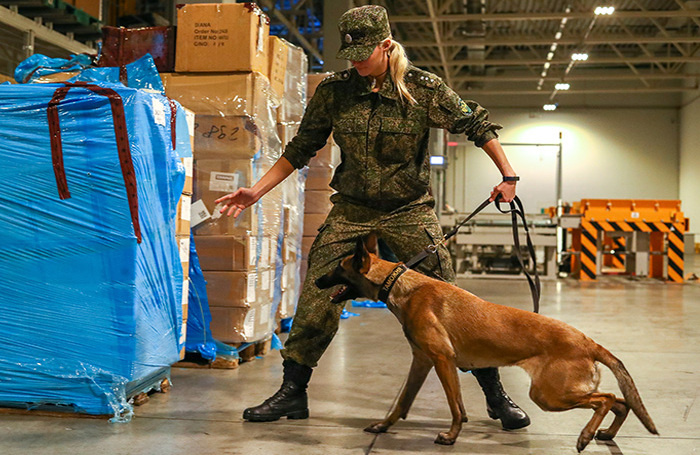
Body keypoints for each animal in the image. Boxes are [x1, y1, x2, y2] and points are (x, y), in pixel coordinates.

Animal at [314, 235, 660, 452]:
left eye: (338, 268)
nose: (316, 280)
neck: (401, 286)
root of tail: (589, 342)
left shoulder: (442, 360)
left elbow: (455, 406)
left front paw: (452, 436)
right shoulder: (422, 361)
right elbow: (403, 402)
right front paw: (384, 426)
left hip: (548, 394)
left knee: (606, 399)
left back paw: (586, 436)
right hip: (555, 393)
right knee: (621, 402)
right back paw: (606, 434)